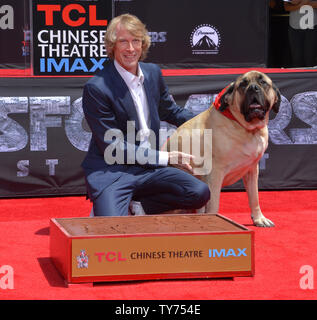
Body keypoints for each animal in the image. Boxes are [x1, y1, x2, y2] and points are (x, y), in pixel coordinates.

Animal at [163, 71, 278, 226]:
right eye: (243, 85)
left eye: (263, 82)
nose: (253, 88)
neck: (247, 129)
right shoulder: (215, 174)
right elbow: (213, 205)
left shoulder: (252, 170)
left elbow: (254, 197)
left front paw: (259, 218)